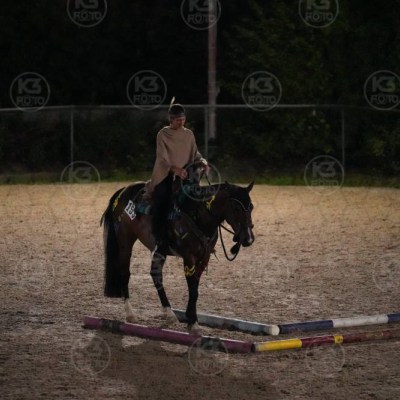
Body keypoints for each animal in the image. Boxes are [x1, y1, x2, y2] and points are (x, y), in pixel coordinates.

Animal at [100, 166, 255, 331]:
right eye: (236, 208)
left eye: (251, 207)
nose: (248, 239)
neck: (196, 214)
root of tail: (123, 190)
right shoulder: (189, 257)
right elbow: (193, 290)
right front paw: (193, 322)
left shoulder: (204, 258)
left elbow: (195, 289)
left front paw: (191, 317)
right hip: (125, 240)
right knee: (125, 273)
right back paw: (131, 314)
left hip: (159, 250)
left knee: (156, 276)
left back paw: (168, 313)